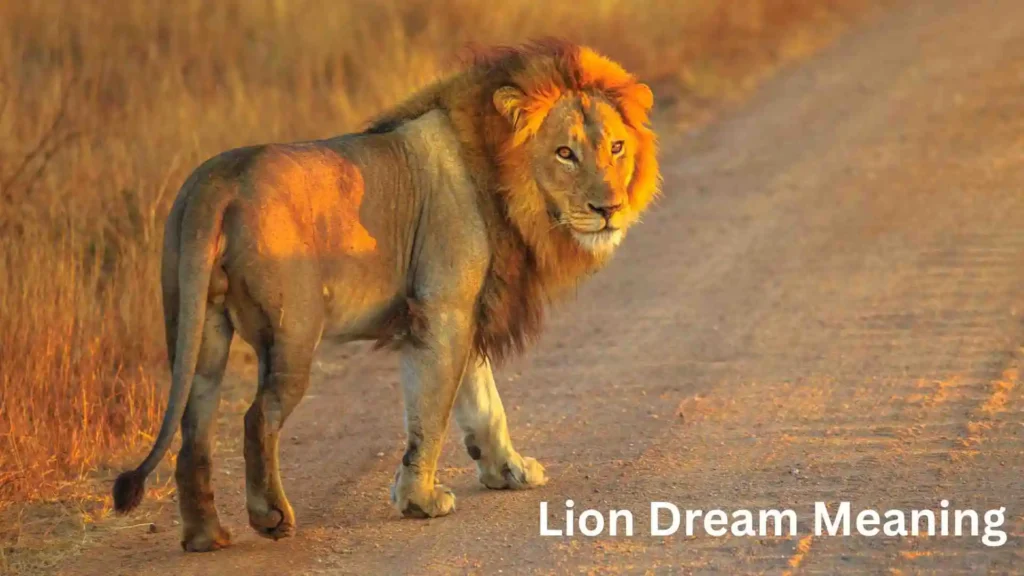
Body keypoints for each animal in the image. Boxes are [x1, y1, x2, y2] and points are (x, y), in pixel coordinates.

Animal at [112, 39, 659, 552]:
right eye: (565, 153)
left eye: (616, 147)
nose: (609, 208)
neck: (503, 177)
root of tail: (218, 181)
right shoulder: (442, 311)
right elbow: (432, 412)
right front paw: (421, 501)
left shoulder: (466, 309)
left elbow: (483, 402)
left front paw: (508, 470)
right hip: (292, 334)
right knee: (256, 418)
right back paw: (270, 517)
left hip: (199, 327)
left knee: (194, 430)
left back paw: (205, 536)